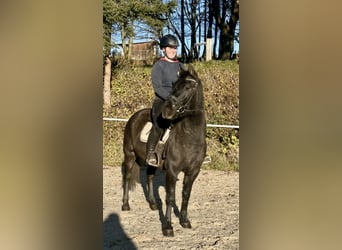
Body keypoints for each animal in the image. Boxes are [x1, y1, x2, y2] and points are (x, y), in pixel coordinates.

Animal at [121, 64, 206, 236]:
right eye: (174, 86)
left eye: (188, 87)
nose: (167, 111)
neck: (190, 136)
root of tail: (135, 116)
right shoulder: (172, 171)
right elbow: (170, 197)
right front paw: (167, 227)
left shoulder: (193, 171)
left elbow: (186, 195)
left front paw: (184, 220)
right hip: (129, 155)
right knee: (127, 177)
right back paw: (126, 205)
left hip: (150, 161)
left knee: (150, 177)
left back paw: (153, 204)